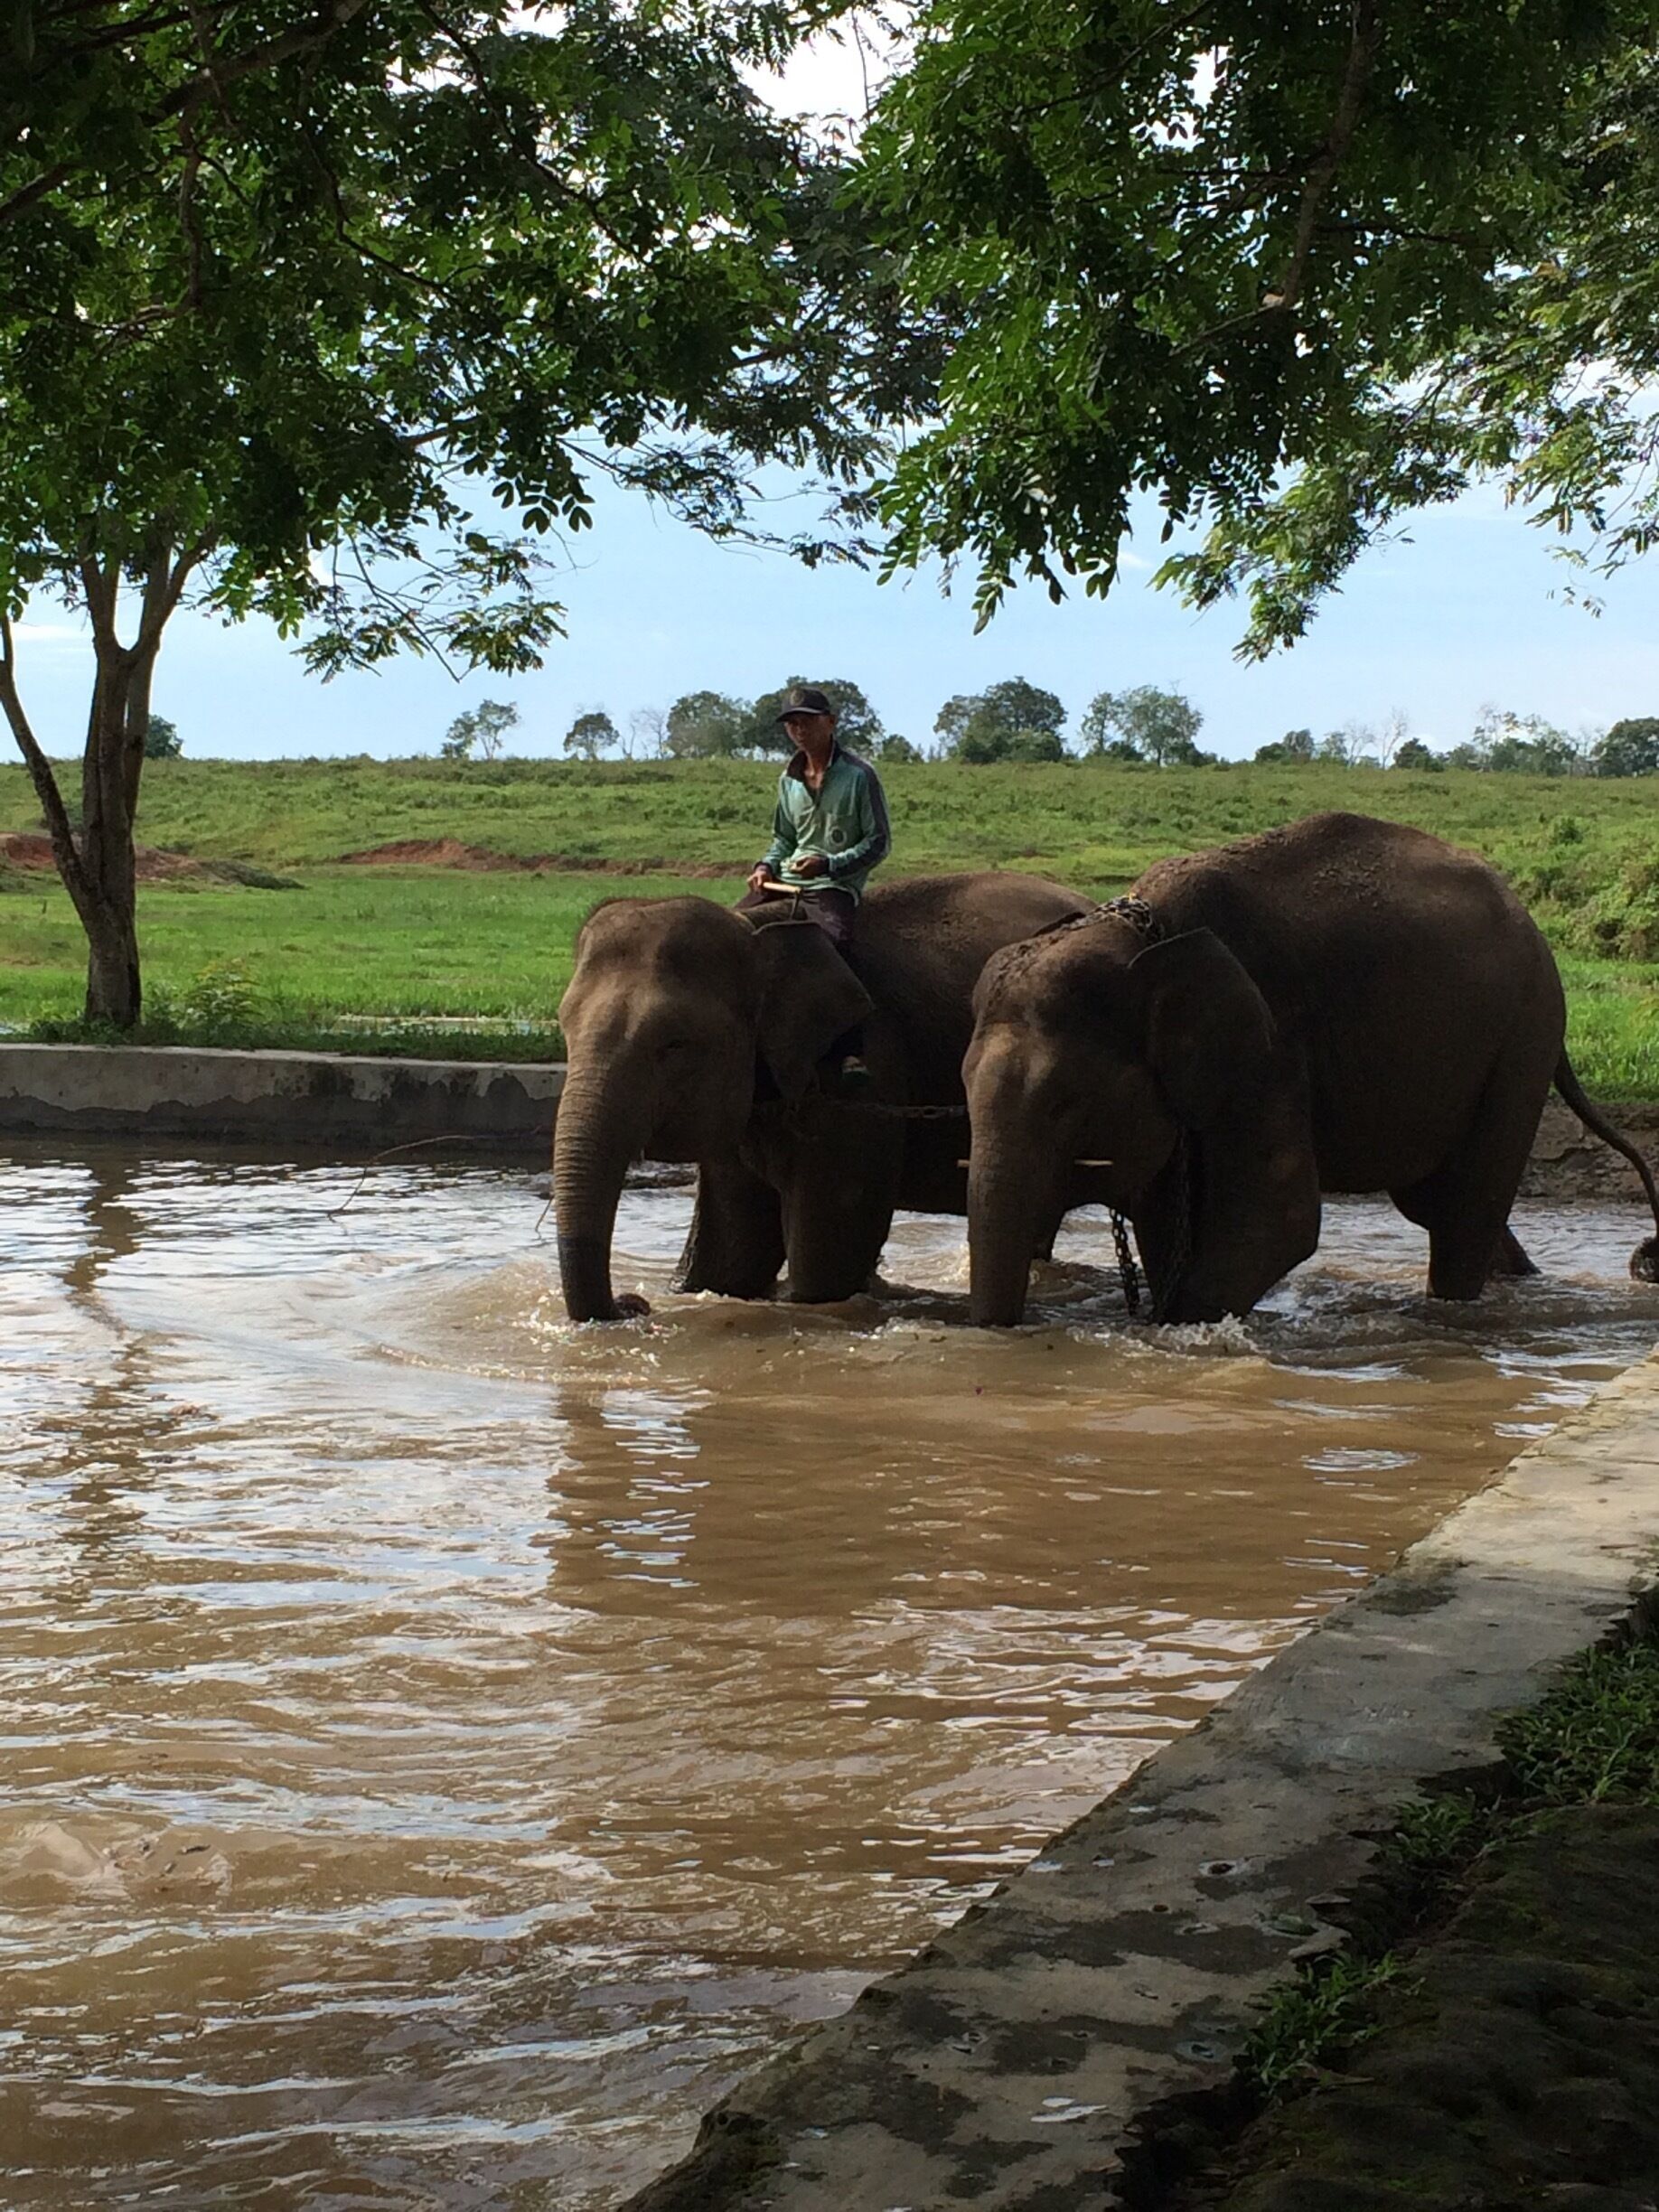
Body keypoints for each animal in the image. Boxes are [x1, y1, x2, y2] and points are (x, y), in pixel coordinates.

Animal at [554, 871, 1094, 1321]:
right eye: (564, 1028)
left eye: (674, 1043)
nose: (633, 1303)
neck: (758, 928)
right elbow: (732, 1253)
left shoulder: (862, 1083)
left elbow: (828, 1262)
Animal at [963, 811, 1659, 1326]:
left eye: (1065, 1104)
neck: (1139, 932)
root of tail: (1533, 928)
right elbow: (1168, 1215)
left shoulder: (1272, 1039)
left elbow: (1278, 1220)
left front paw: (1173, 1329)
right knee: (1441, 1204)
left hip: (1521, 1040)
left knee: (1462, 1211)